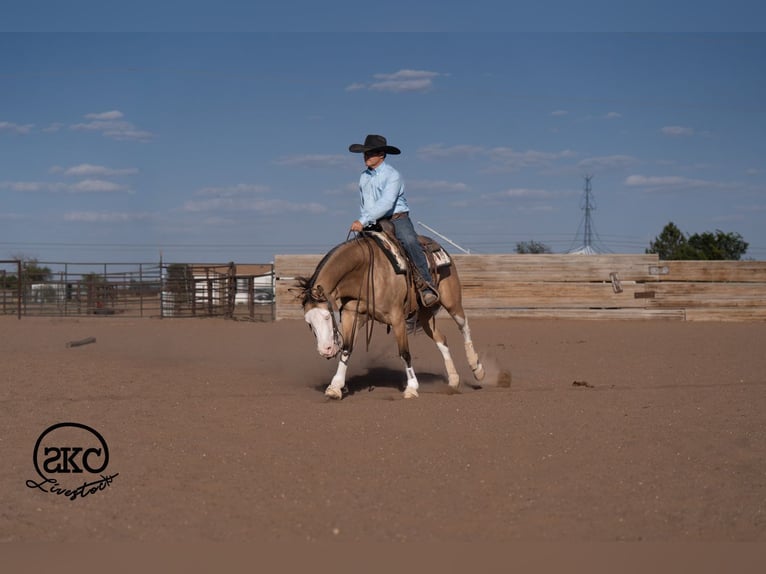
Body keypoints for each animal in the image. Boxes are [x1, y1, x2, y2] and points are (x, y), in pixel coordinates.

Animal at [296, 232, 485, 399]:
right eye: (309, 323)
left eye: (327, 316)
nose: (325, 350)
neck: (365, 271)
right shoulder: (353, 315)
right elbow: (347, 349)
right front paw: (335, 387)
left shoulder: (397, 318)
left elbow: (404, 353)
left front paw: (411, 388)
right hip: (425, 316)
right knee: (442, 339)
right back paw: (453, 380)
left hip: (452, 302)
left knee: (464, 326)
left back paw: (477, 369)